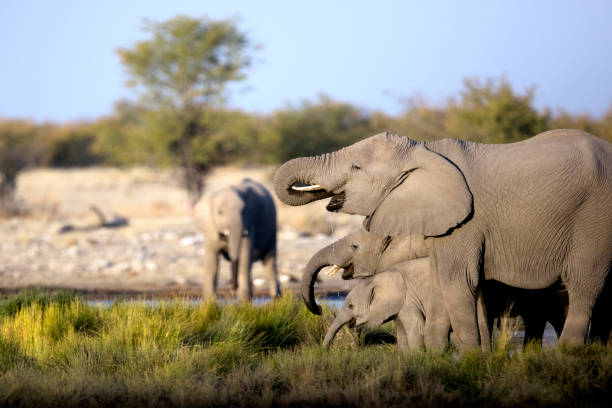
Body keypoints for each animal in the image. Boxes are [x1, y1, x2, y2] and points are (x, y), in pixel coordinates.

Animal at [276, 130, 612, 348]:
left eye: (356, 167)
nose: (319, 308)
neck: (424, 151)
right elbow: (460, 288)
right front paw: (471, 358)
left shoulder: (466, 224)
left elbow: (457, 282)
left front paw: (468, 363)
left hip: (594, 219)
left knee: (584, 285)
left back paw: (567, 356)